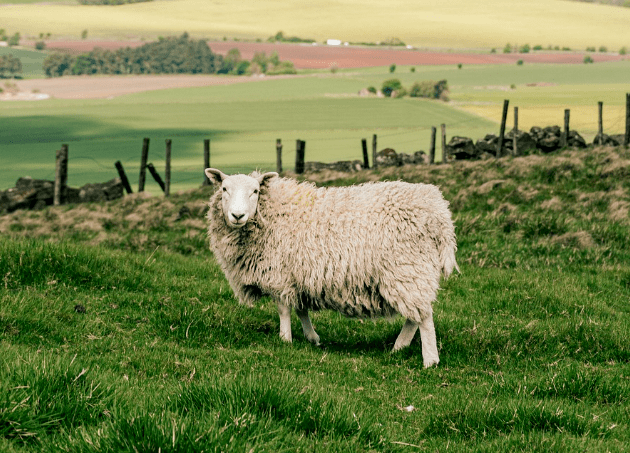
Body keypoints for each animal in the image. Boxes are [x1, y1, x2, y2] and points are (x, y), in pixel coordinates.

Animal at [206, 168, 460, 366]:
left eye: (256, 191)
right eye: (224, 189)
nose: (237, 215)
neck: (272, 213)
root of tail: (440, 214)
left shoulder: (279, 274)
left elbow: (284, 310)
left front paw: (285, 339)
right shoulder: (299, 275)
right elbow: (301, 309)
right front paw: (312, 338)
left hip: (408, 267)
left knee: (424, 317)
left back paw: (430, 360)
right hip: (412, 272)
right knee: (416, 315)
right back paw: (399, 347)